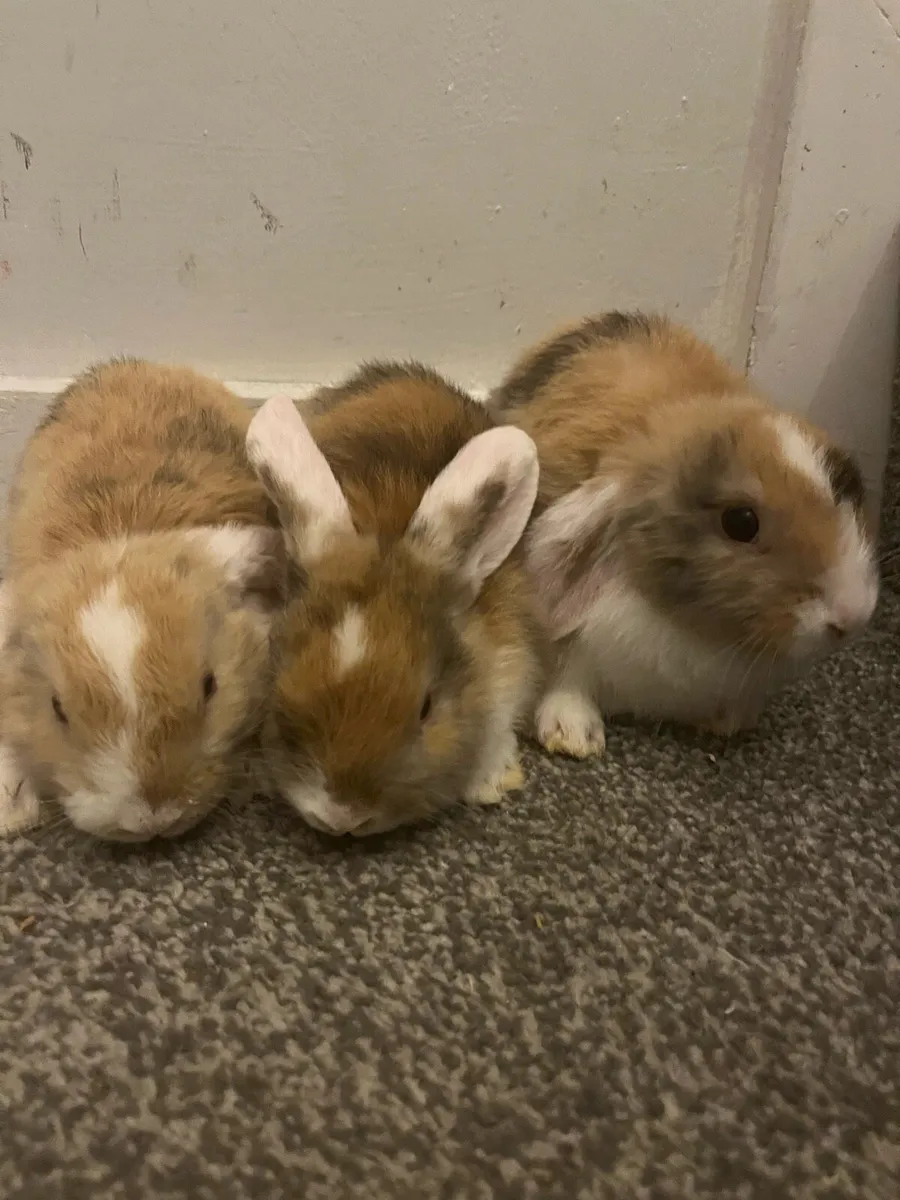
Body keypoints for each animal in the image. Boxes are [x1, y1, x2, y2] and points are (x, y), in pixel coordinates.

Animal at [489, 311, 879, 757]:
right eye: (741, 522)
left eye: (847, 487)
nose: (852, 615)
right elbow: (566, 679)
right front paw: (574, 737)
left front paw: (729, 723)